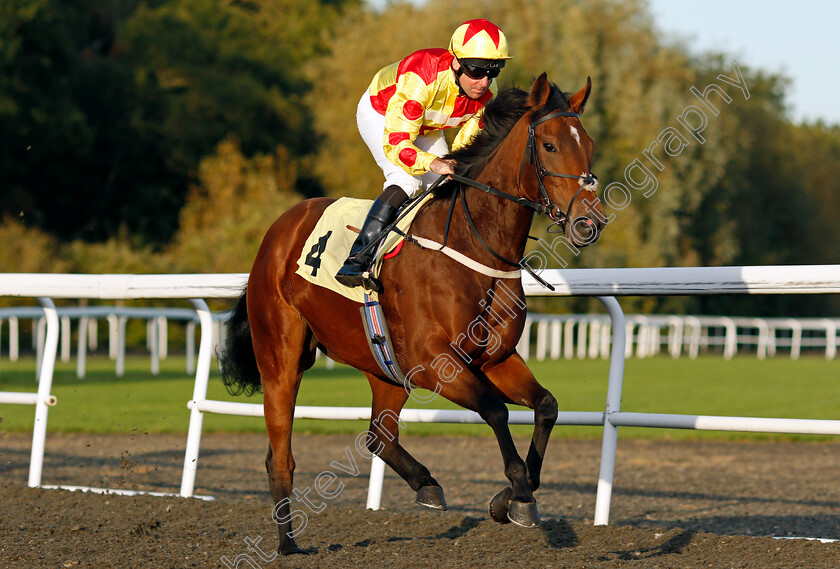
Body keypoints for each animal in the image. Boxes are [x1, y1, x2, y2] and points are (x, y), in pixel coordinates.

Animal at [220, 73, 604, 552]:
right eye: (550, 146)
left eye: (590, 145)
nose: (589, 223)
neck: (472, 244)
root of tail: (276, 232)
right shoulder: (434, 362)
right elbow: (495, 409)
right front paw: (518, 495)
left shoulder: (495, 358)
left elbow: (547, 406)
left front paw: (509, 498)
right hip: (281, 359)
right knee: (281, 455)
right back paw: (287, 542)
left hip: (384, 365)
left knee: (378, 436)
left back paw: (426, 483)